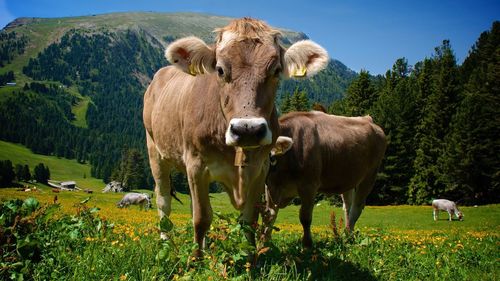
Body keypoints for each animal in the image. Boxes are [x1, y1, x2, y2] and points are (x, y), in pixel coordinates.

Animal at [143, 17, 330, 254]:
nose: (247, 129)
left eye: (276, 70)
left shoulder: (260, 170)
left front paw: (250, 257)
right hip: (155, 151)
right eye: (220, 70)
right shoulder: (196, 165)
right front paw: (196, 258)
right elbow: (201, 219)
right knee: (163, 200)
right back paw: (166, 241)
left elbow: (249, 220)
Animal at [264, 110, 388, 246]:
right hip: (347, 177)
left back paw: (349, 237)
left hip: (370, 175)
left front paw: (307, 244)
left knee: (357, 206)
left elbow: (305, 217)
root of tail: (367, 119)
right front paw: (264, 243)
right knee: (347, 206)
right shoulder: (270, 186)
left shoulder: (309, 186)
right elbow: (269, 215)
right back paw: (346, 232)